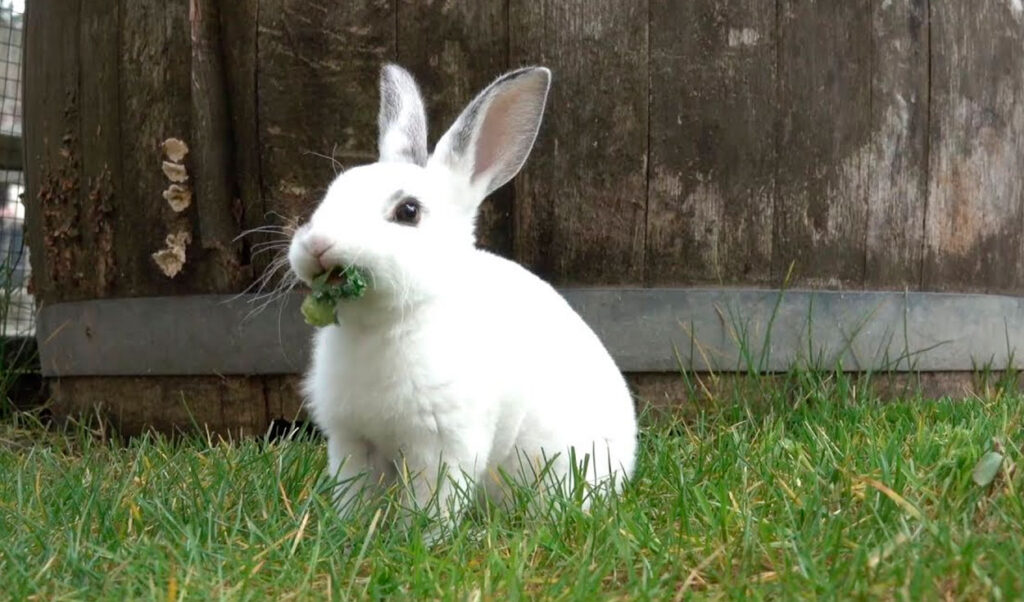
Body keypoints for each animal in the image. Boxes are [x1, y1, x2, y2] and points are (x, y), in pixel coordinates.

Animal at [288, 64, 634, 528]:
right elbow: (355, 496)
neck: (383, 325)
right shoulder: (352, 443)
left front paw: (419, 536)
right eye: (331, 193)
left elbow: (431, 504)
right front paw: (353, 531)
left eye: (408, 211)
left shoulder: (441, 447)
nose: (317, 245)